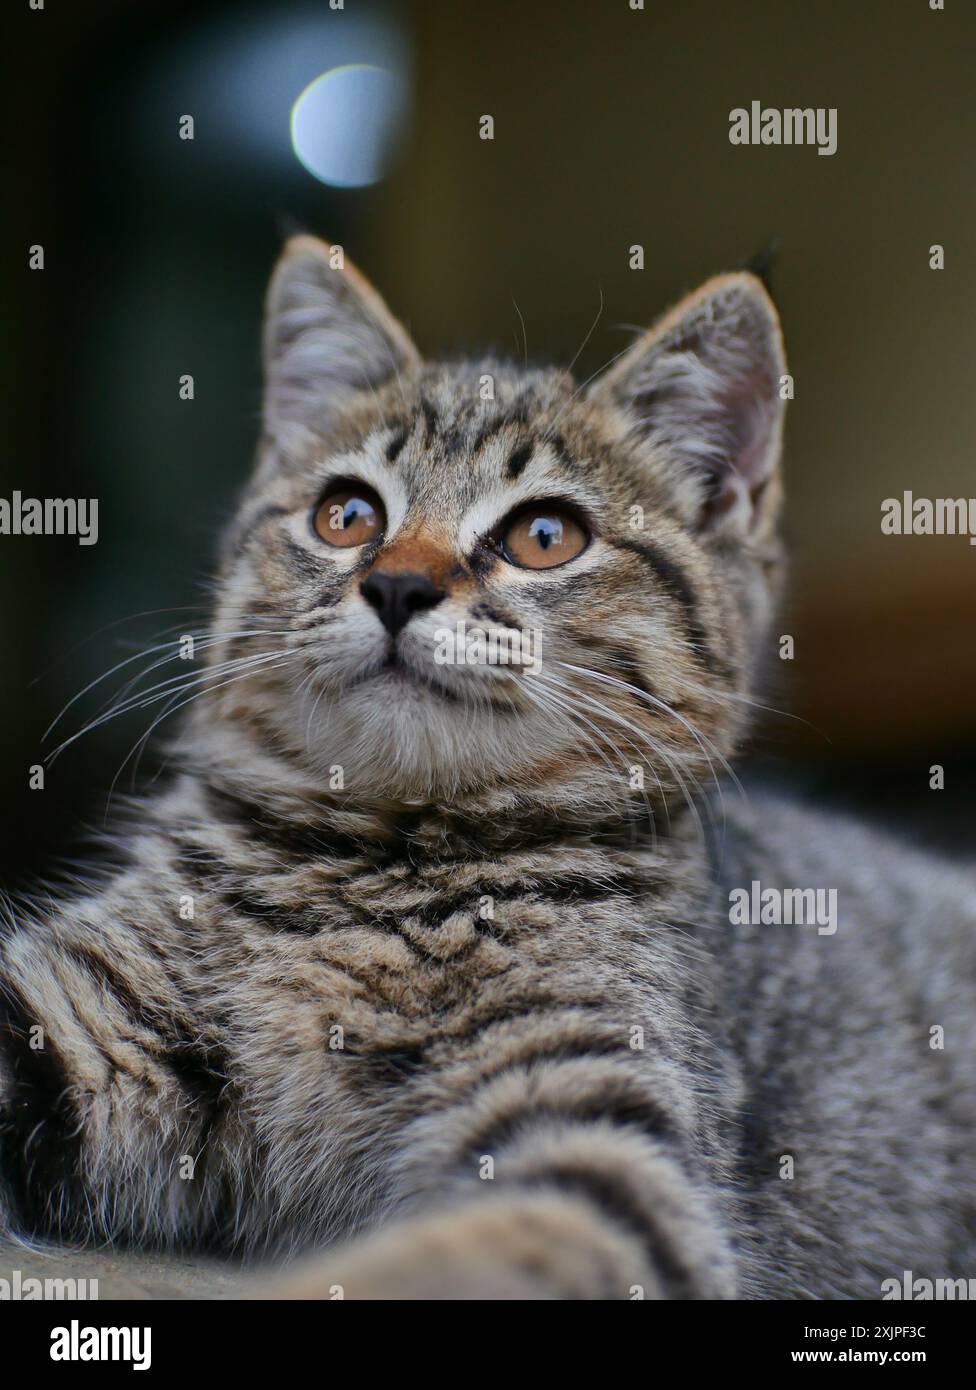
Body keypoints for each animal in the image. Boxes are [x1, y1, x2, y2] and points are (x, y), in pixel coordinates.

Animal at [1, 239, 976, 1301]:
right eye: (346, 516)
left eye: (544, 536)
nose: (396, 585)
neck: (395, 862)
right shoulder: (83, 1012)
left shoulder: (602, 1130)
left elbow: (480, 1249)